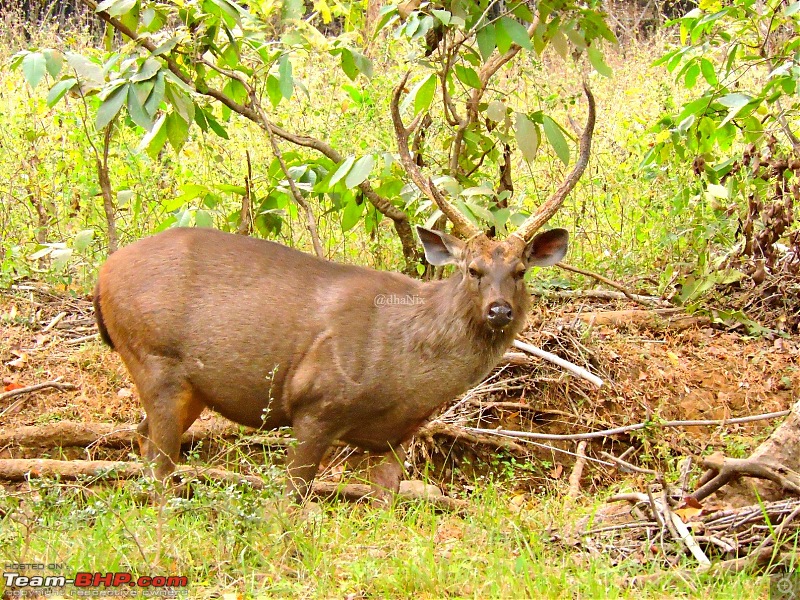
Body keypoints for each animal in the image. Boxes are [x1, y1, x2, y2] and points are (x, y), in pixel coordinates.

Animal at [94, 79, 592, 502]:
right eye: (473, 270)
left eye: (521, 271)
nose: (500, 311)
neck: (406, 364)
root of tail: (102, 277)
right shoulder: (316, 401)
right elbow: (289, 502)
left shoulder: (396, 435)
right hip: (153, 355)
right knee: (159, 463)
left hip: (186, 385)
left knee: (142, 438)